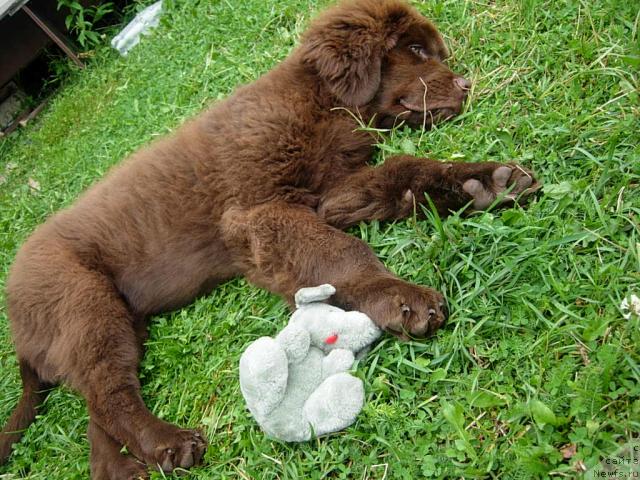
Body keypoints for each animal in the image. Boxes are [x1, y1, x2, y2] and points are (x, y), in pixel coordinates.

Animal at [0, 0, 540, 476]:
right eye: (415, 50)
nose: (467, 84)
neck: (322, 103)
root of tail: (17, 326)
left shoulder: (332, 190)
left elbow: (401, 170)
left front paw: (482, 181)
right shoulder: (257, 212)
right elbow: (339, 251)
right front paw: (396, 296)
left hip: (114, 321)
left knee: (97, 411)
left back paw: (126, 468)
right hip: (85, 303)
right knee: (110, 397)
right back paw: (171, 444)